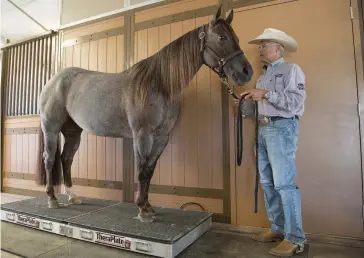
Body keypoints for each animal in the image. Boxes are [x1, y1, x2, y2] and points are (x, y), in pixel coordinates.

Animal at [36, 6, 253, 224]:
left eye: (236, 38)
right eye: (221, 37)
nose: (246, 72)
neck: (159, 85)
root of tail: (53, 81)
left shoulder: (162, 138)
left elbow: (149, 170)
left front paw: (149, 207)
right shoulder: (142, 135)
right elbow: (141, 171)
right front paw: (142, 210)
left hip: (73, 131)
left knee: (66, 159)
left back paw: (73, 196)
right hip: (51, 128)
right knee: (49, 158)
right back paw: (52, 199)